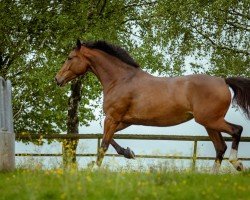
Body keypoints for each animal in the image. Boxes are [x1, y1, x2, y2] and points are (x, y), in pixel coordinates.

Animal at [55, 39, 250, 173]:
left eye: (70, 57)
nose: (57, 79)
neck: (121, 79)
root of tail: (223, 81)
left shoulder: (113, 117)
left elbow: (104, 143)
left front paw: (95, 170)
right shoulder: (124, 120)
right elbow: (108, 138)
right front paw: (128, 152)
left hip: (211, 120)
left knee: (236, 131)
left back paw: (237, 164)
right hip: (208, 123)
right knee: (220, 147)